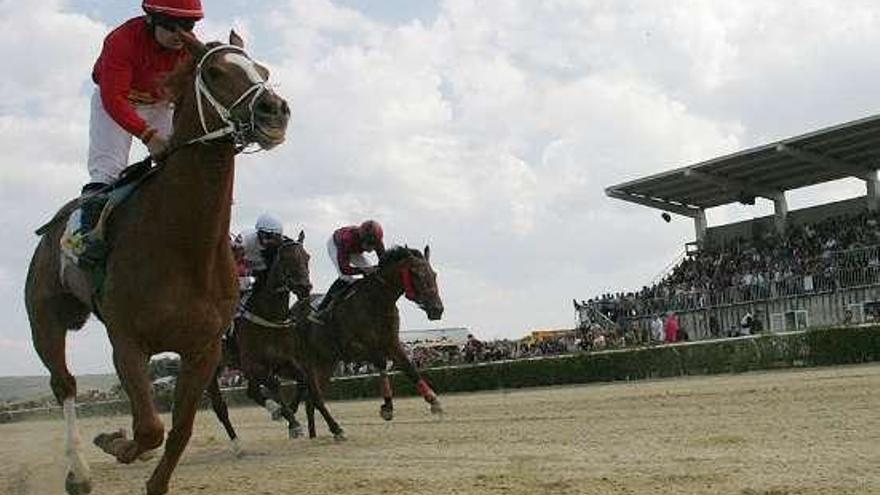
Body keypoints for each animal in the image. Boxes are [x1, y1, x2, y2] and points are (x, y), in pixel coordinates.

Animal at [24, 31, 290, 495]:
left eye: (263, 69)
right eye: (215, 72)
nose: (274, 110)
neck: (183, 246)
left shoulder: (203, 351)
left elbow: (177, 430)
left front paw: (143, 463)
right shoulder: (127, 340)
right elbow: (149, 428)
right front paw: (114, 442)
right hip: (46, 320)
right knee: (65, 384)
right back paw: (79, 471)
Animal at [290, 245, 446, 438]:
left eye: (434, 274)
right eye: (416, 274)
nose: (437, 309)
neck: (377, 301)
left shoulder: (391, 343)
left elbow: (410, 368)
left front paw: (434, 401)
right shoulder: (355, 348)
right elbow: (381, 362)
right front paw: (387, 407)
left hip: (326, 362)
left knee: (311, 400)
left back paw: (315, 434)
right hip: (307, 361)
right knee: (314, 396)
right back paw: (331, 430)